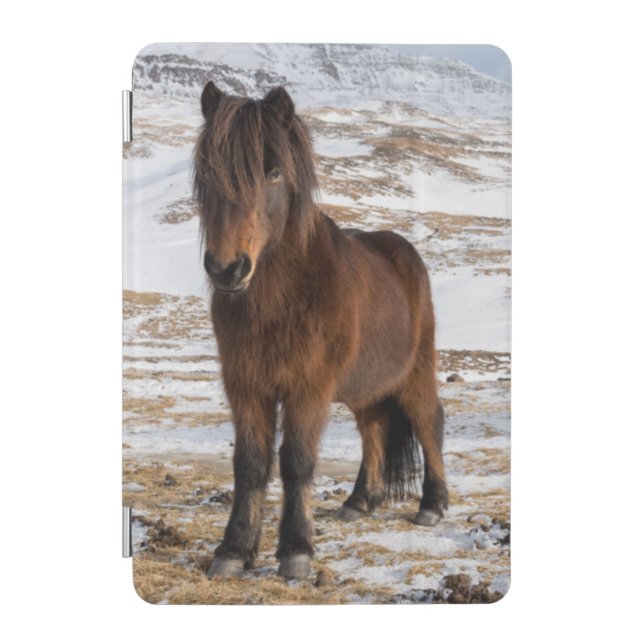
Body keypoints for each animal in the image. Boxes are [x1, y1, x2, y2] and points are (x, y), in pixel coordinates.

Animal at [193, 81, 448, 579]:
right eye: (208, 171)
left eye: (273, 172)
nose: (228, 269)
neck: (279, 299)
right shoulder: (245, 385)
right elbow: (249, 463)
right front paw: (233, 551)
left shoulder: (307, 387)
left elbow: (296, 461)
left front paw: (295, 551)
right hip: (367, 387)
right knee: (374, 429)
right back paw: (359, 502)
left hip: (414, 373)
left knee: (430, 422)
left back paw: (432, 505)